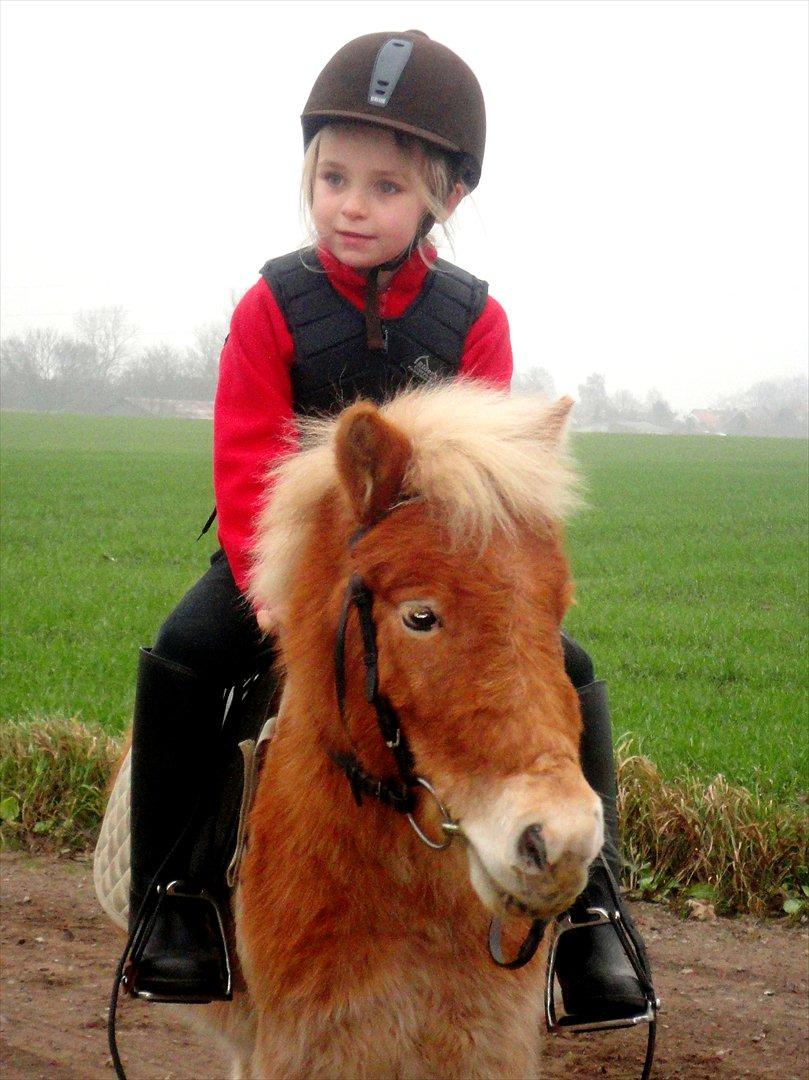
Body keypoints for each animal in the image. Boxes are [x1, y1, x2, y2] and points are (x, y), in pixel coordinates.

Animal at [195, 384, 604, 1075]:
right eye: (419, 616)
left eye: (557, 609)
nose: (560, 844)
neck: (407, 894)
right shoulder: (304, 1046)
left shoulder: (483, 1044)